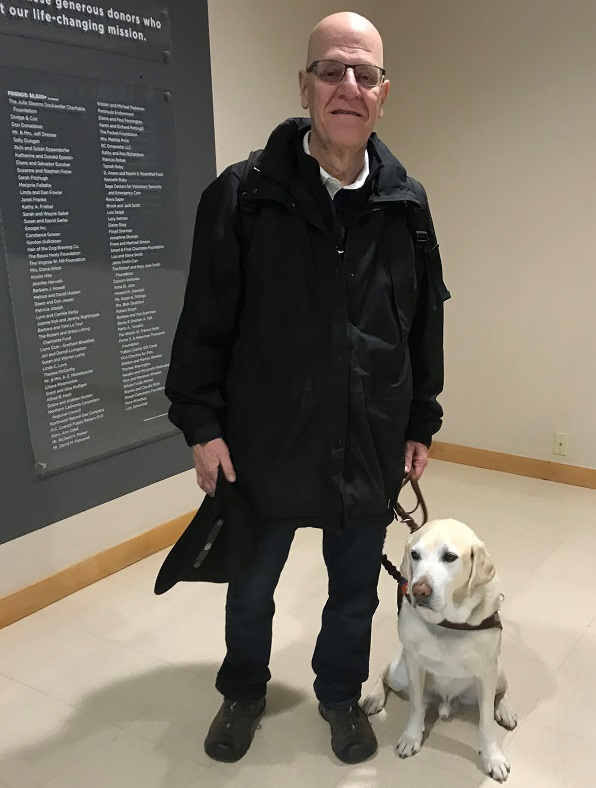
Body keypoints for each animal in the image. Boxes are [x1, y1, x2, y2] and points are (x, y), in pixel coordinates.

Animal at [364, 516, 516, 780]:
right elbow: (415, 707)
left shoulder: (486, 672)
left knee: (501, 693)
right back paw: (374, 698)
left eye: (450, 557)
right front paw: (411, 737)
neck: (448, 623)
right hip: (399, 672)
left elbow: (486, 722)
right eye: (414, 554)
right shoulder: (414, 664)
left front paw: (493, 758)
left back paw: (505, 710)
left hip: (497, 674)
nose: (419, 590)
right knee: (384, 674)